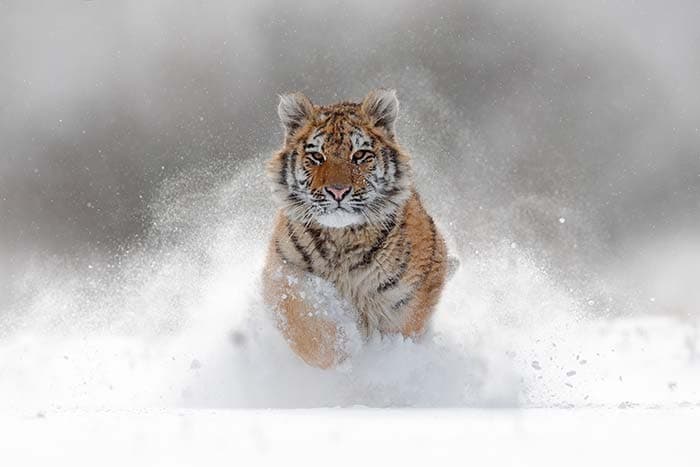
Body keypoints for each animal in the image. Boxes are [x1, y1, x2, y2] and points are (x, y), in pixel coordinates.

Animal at [262, 89, 451, 369]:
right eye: (316, 157)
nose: (337, 191)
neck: (342, 238)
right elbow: (306, 323)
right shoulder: (282, 271)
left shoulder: (410, 294)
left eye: (360, 155)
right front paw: (342, 354)